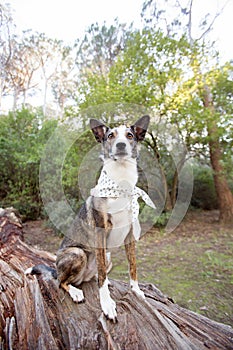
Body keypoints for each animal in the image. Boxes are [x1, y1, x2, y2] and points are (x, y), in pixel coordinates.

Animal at [26, 116, 155, 324]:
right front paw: (107, 304)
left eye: (130, 135)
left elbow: (132, 267)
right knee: (61, 282)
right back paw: (75, 292)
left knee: (94, 276)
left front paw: (136, 291)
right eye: (110, 135)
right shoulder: (100, 232)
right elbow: (101, 276)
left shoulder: (129, 235)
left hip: (107, 257)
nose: (120, 145)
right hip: (77, 253)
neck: (121, 184)